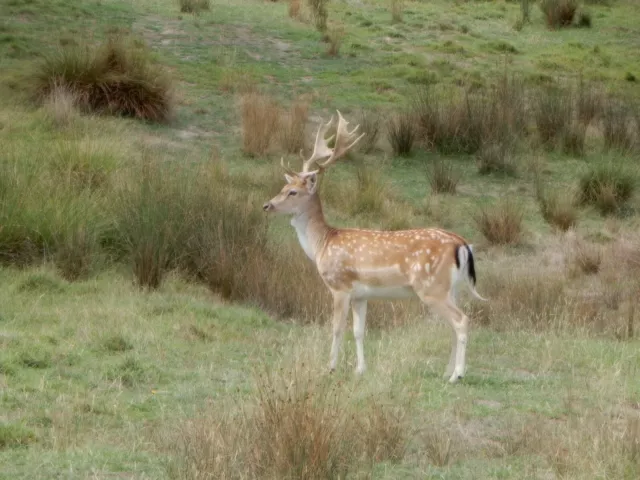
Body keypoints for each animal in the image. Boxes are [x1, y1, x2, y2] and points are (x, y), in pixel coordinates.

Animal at [262, 110, 484, 384]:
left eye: (293, 192)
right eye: (283, 188)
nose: (267, 205)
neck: (322, 244)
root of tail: (462, 244)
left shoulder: (340, 286)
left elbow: (337, 328)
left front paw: (331, 367)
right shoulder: (361, 295)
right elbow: (359, 331)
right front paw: (360, 369)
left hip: (432, 288)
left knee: (461, 320)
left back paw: (457, 375)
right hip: (450, 288)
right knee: (454, 324)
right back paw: (447, 372)